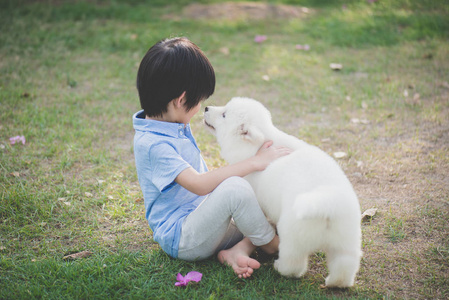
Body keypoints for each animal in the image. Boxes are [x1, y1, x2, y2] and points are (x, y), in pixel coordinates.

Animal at [205, 97, 362, 288]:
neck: (257, 146)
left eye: (224, 114)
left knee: (293, 264)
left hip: (293, 236)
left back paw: (280, 267)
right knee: (345, 264)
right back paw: (336, 282)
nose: (206, 108)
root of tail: (326, 204)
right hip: (346, 238)